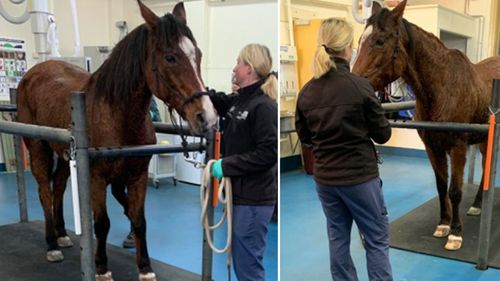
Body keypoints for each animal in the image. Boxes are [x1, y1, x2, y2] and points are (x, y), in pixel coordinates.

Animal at [15, 1, 215, 278]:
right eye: (170, 57)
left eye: (198, 54)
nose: (206, 115)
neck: (117, 116)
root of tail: (32, 73)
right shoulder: (96, 179)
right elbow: (102, 223)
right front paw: (101, 268)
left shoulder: (137, 176)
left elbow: (139, 220)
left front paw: (145, 268)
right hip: (37, 148)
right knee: (45, 190)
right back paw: (52, 245)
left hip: (65, 156)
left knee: (59, 186)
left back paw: (62, 234)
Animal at [352, 0, 500, 249]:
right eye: (360, 41)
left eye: (380, 41)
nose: (352, 83)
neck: (441, 88)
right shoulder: (432, 147)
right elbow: (442, 187)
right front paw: (443, 224)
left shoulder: (458, 147)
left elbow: (455, 190)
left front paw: (455, 233)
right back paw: (477, 205)